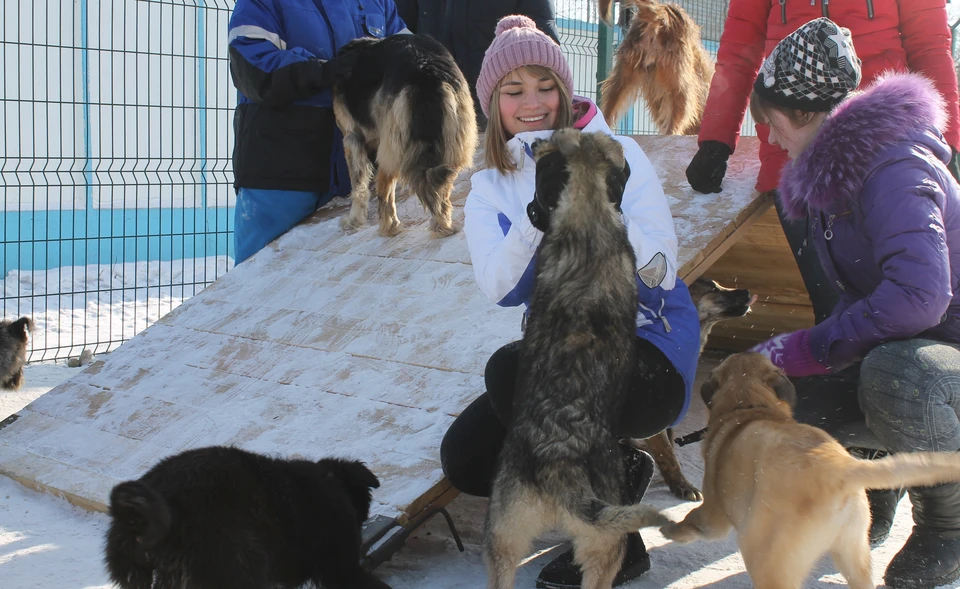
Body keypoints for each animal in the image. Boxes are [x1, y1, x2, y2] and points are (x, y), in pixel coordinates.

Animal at [332, 33, 478, 237]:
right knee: (439, 183)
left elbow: (358, 186)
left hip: (391, 146)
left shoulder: (352, 139)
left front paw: (353, 220)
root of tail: (426, 73)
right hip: (455, 143)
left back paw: (389, 226)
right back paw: (443, 224)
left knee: (384, 188)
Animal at [660, 352, 960, 584]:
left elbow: (694, 521)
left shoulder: (715, 511)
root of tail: (842, 470)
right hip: (853, 553)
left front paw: (671, 530)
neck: (749, 405)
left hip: (766, 555)